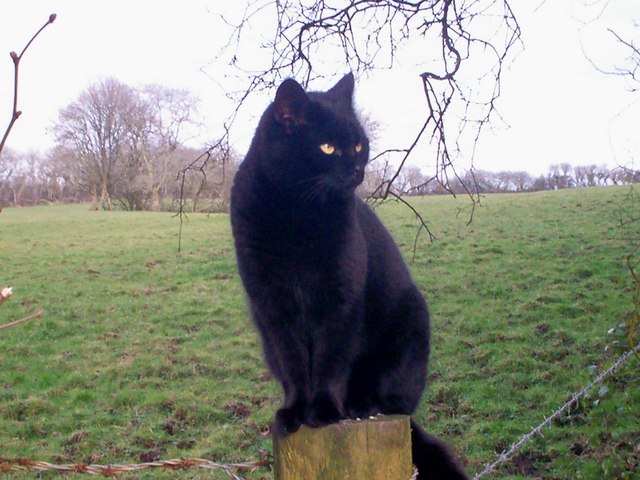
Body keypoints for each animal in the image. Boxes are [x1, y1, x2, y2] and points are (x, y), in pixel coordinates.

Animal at [230, 73, 470, 478]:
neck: (297, 213)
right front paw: (293, 412)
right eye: (327, 147)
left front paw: (323, 411)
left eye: (358, 144)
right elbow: (294, 365)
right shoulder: (273, 306)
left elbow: (330, 359)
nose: (356, 170)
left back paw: (359, 406)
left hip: (408, 326)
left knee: (391, 397)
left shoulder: (338, 297)